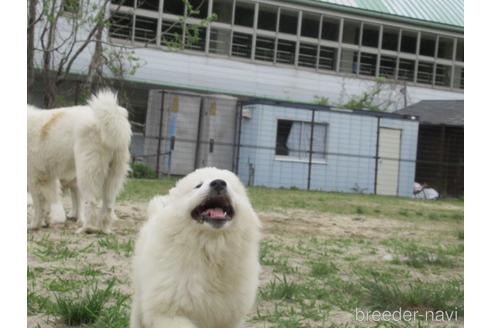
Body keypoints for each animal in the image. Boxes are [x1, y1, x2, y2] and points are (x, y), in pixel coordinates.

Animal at [26, 90, 131, 233]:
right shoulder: (48, 178)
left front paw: (34, 225)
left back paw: (86, 228)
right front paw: (45, 222)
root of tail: (112, 117)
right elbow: (48, 201)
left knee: (90, 202)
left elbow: (38, 205)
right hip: (113, 175)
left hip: (86, 174)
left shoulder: (34, 178)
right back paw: (104, 229)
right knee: (108, 205)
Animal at [130, 168, 262, 328]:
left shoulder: (228, 317)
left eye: (230, 185)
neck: (210, 250)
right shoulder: (169, 313)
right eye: (198, 186)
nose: (219, 183)